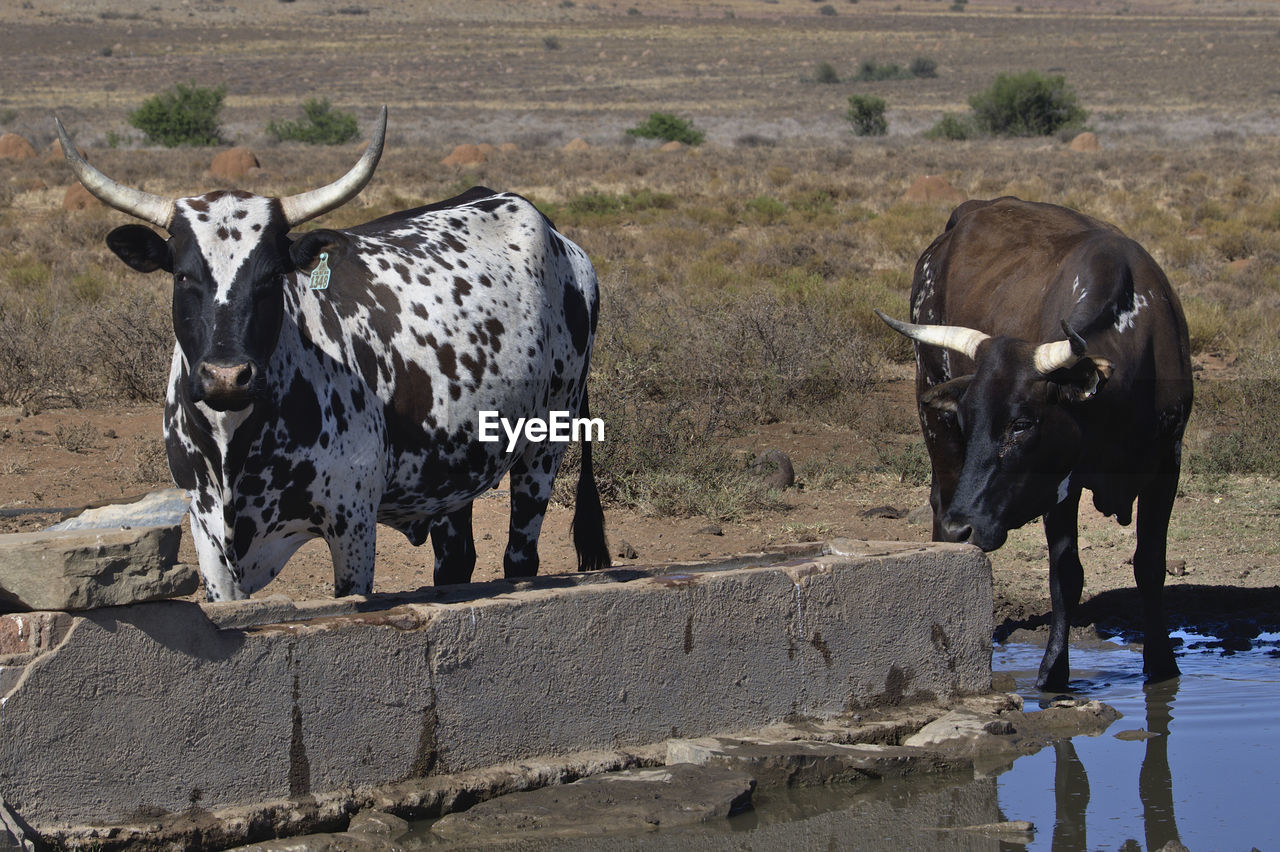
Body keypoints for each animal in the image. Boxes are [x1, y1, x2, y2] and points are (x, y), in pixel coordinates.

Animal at [62, 108, 611, 596]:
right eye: (181, 276)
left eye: (270, 278)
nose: (226, 376)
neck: (233, 442)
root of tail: (551, 229)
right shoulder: (207, 536)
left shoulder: (352, 526)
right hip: (454, 468)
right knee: (455, 561)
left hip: (546, 443)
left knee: (521, 556)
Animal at [875, 197, 1192, 690]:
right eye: (968, 417)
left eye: (1022, 424)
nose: (961, 528)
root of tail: (966, 213)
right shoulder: (1058, 484)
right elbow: (1066, 573)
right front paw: (1052, 673)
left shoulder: (1165, 466)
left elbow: (1150, 565)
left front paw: (1162, 665)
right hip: (931, 409)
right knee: (940, 500)